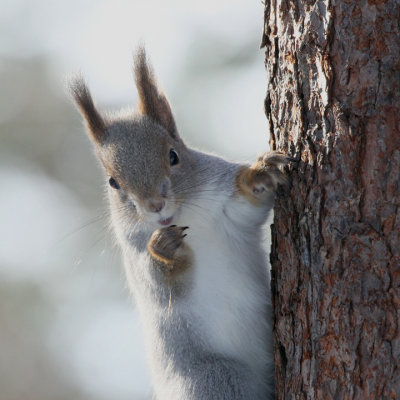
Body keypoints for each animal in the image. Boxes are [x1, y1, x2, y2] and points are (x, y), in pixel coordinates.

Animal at [70, 47, 290, 400]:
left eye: (174, 156)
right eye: (113, 182)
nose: (155, 206)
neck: (186, 217)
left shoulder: (229, 207)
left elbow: (249, 203)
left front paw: (261, 174)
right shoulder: (134, 252)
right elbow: (160, 285)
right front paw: (164, 249)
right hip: (212, 380)